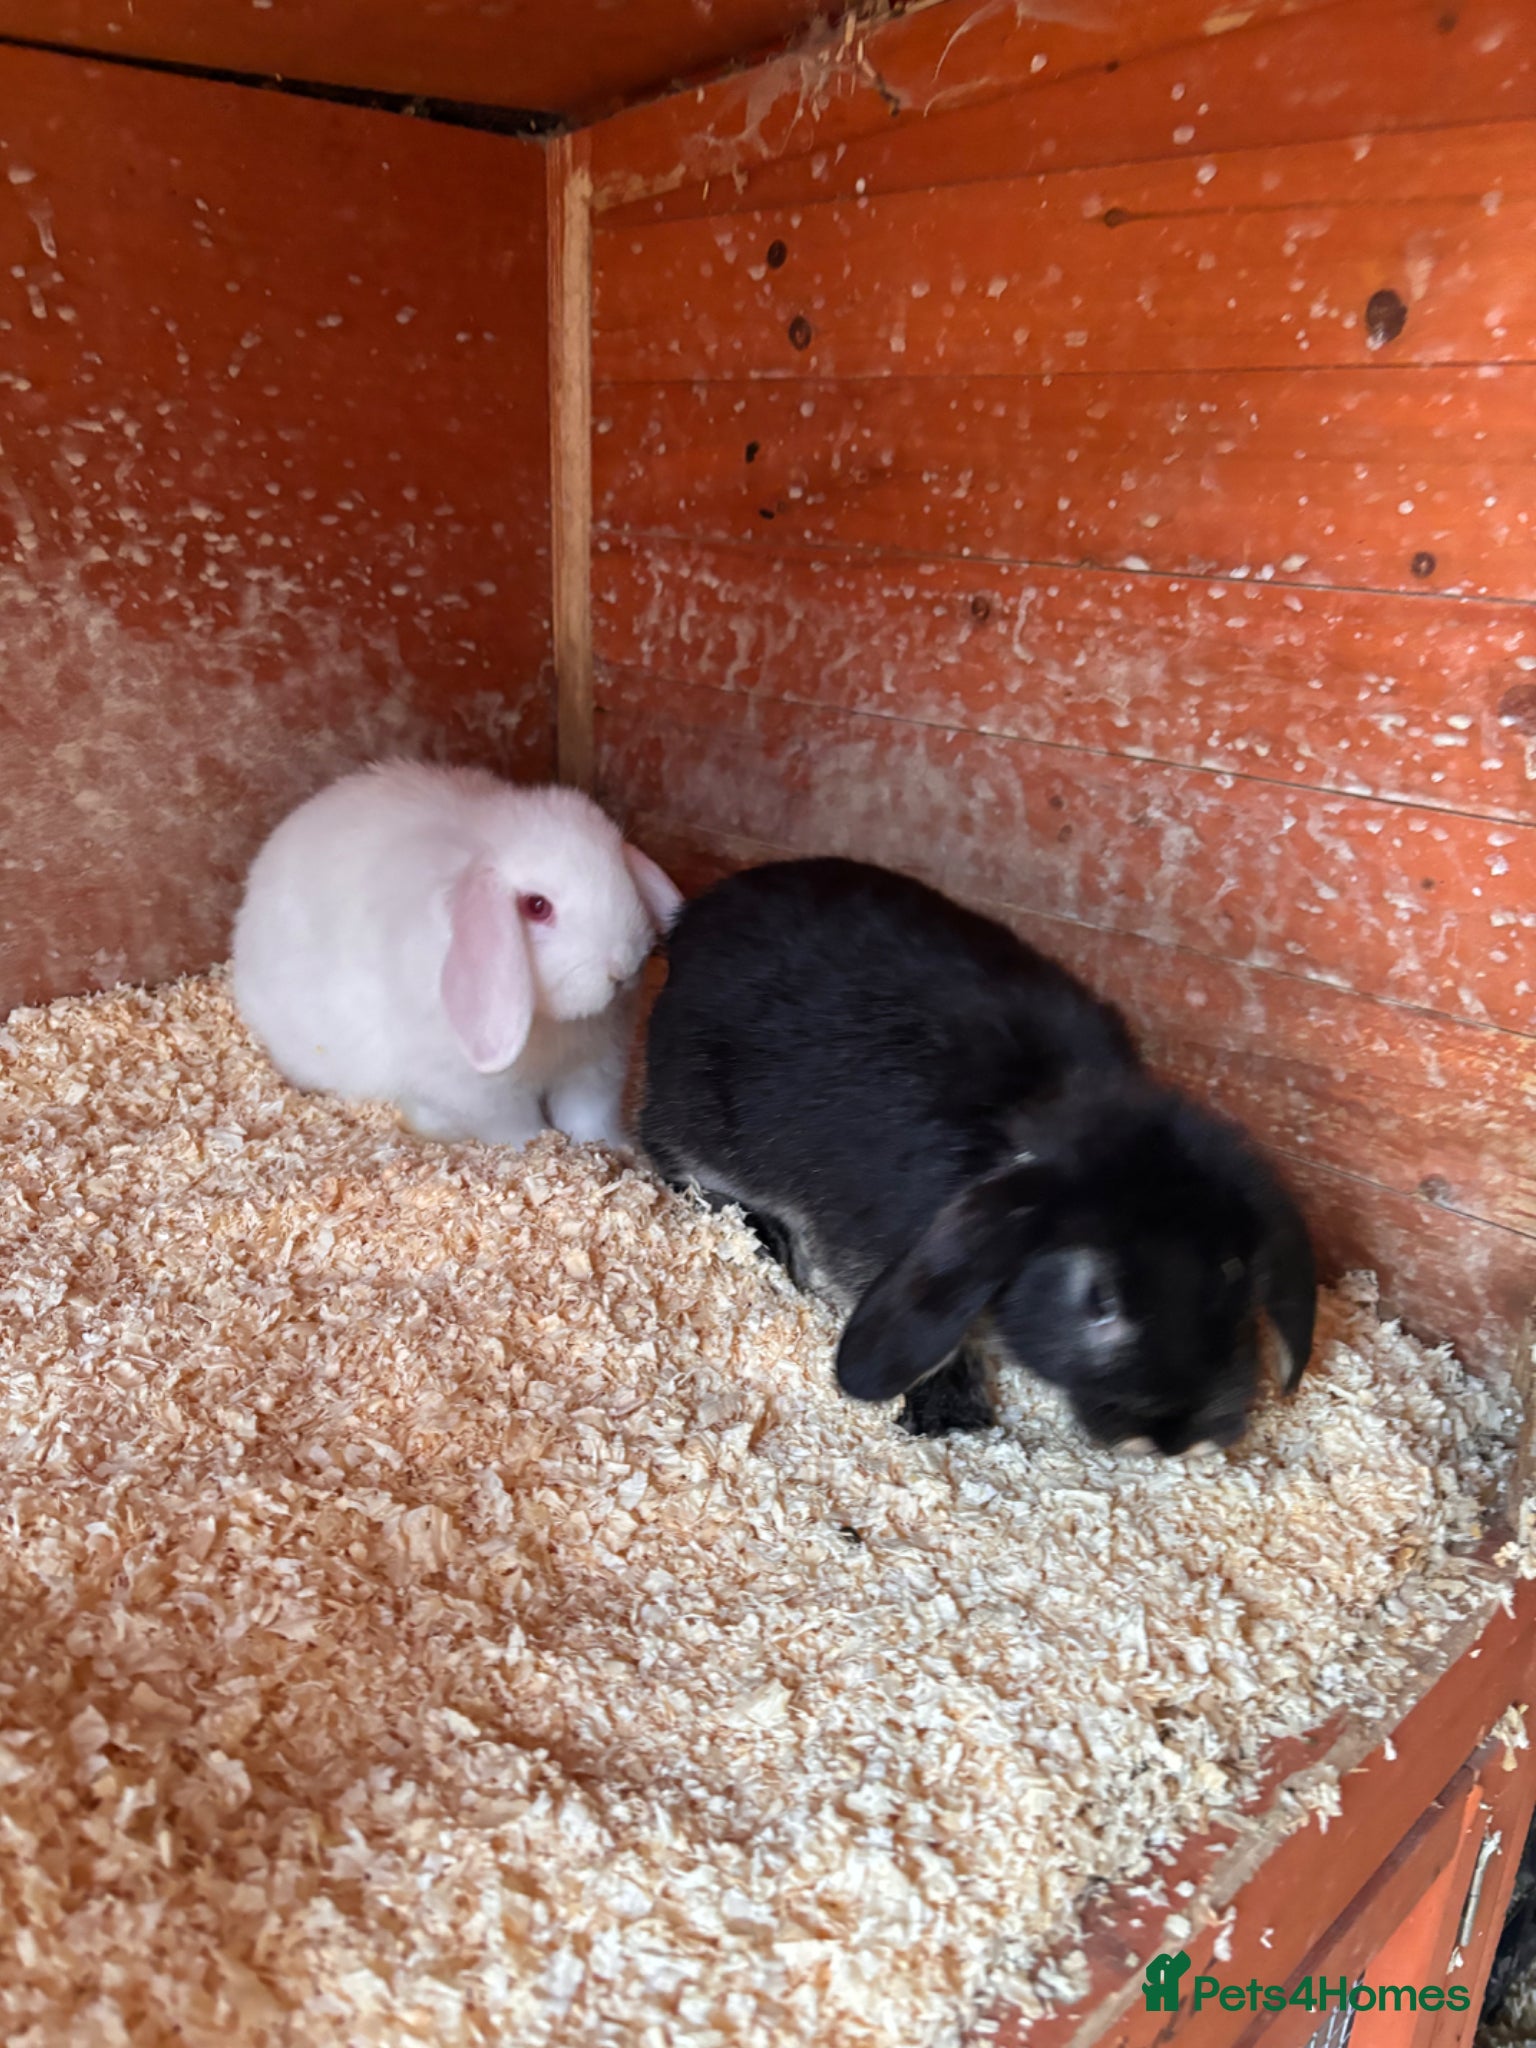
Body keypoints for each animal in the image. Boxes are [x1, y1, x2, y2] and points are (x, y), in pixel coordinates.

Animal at [231, 760, 681, 1148]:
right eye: (536, 906)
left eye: (622, 875)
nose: (623, 968)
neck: (552, 1025)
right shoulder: (483, 1095)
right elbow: (518, 1129)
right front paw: (541, 1149)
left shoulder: (594, 1067)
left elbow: (590, 1118)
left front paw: (615, 1152)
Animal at [640, 857, 1316, 1454]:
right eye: (1100, 1300)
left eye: (1234, 1274)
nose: (1179, 1439)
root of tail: (693, 920)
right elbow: (942, 1341)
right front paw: (951, 1416)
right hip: (691, 1115)